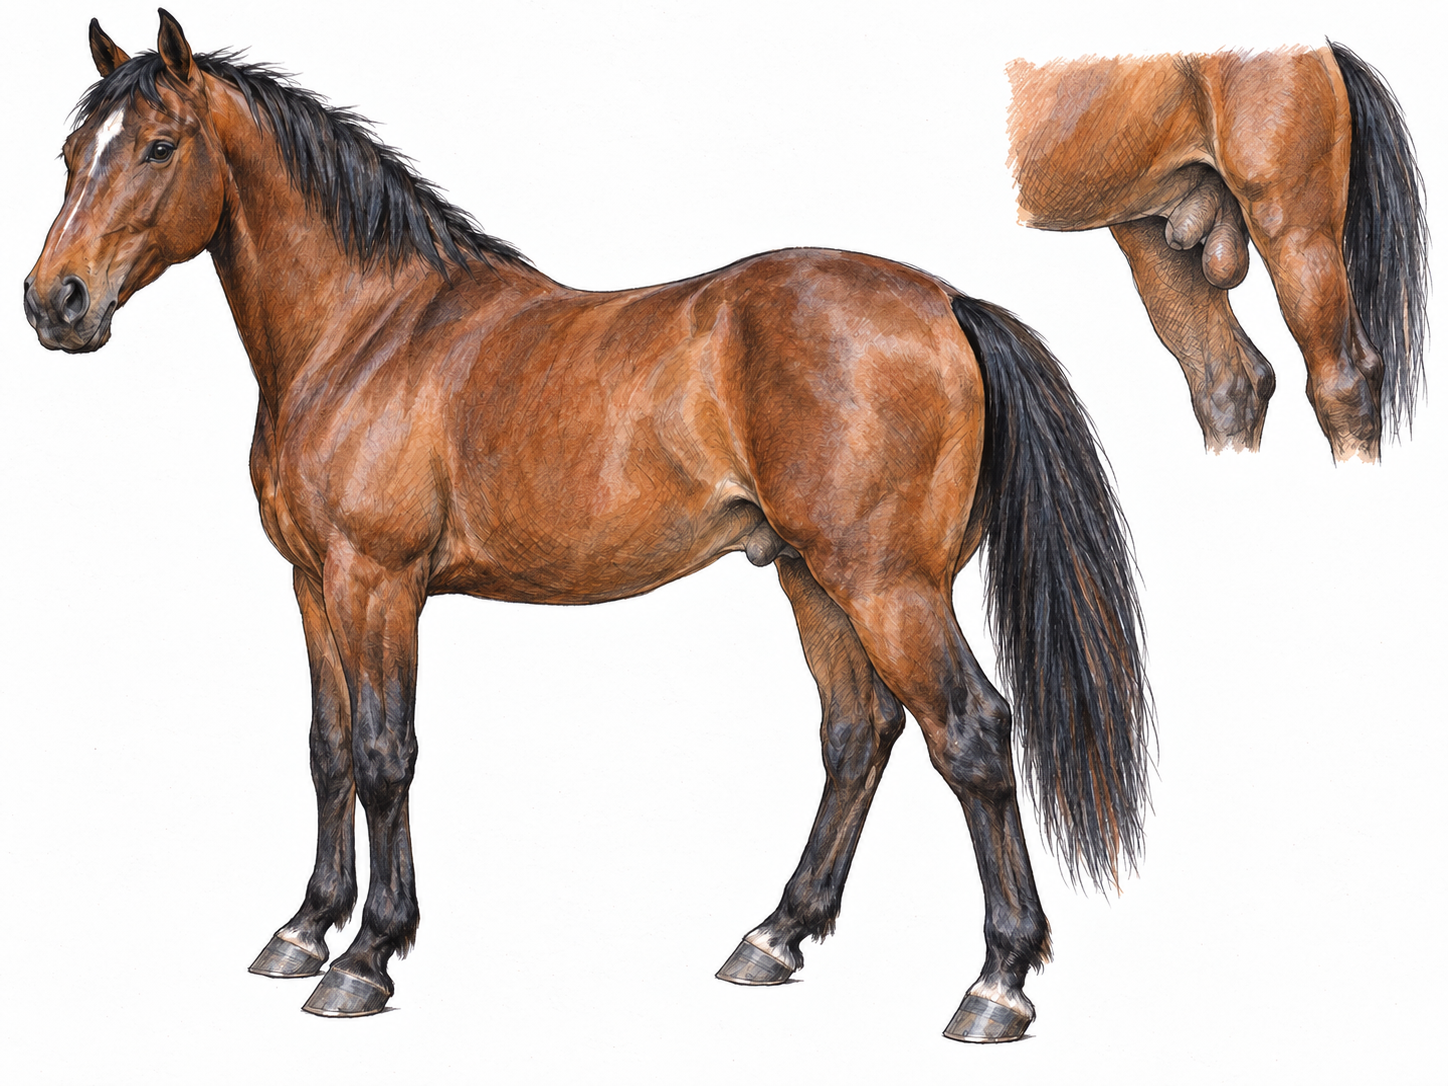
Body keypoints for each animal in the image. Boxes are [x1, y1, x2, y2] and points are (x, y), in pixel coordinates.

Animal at [25, 12, 1151, 1040]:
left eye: (159, 146)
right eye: (74, 154)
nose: (54, 303)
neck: (365, 333)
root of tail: (947, 303)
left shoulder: (376, 582)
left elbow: (386, 755)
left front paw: (367, 958)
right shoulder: (311, 584)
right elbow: (328, 749)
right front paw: (303, 929)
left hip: (887, 585)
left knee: (971, 732)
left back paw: (995, 985)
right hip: (813, 578)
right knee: (856, 734)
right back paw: (773, 937)